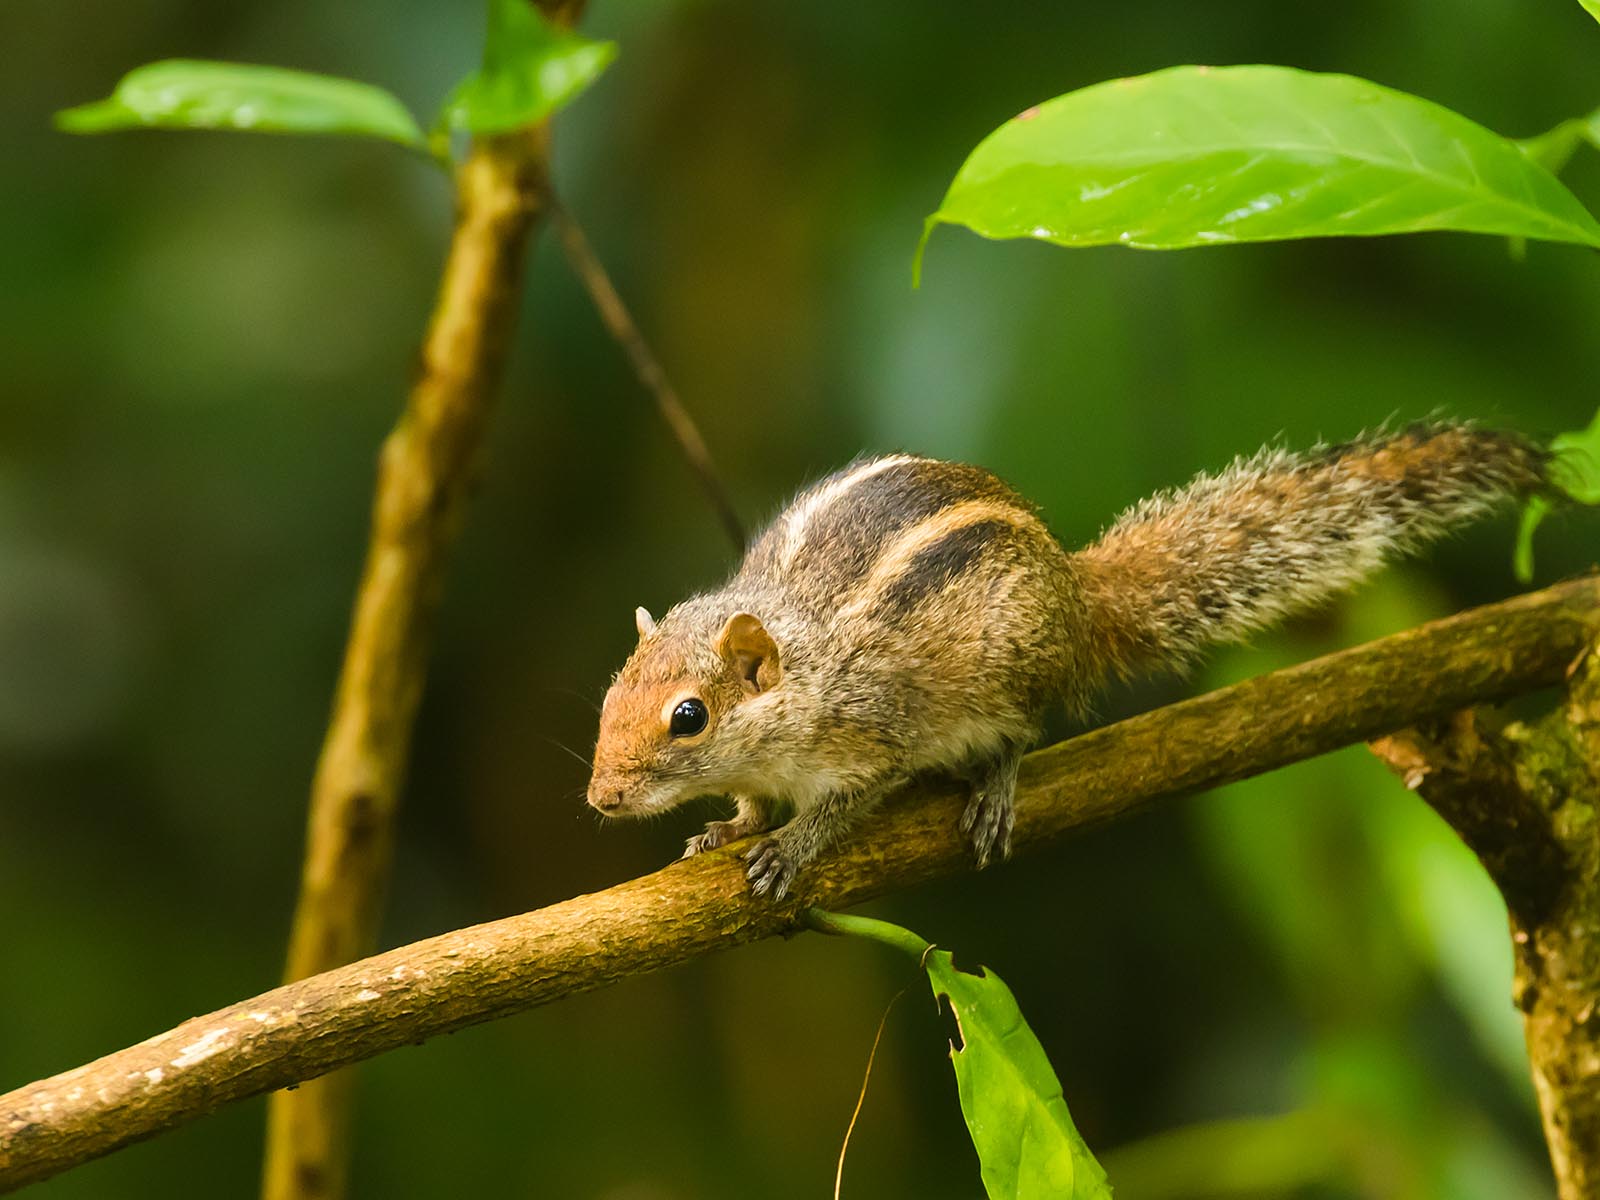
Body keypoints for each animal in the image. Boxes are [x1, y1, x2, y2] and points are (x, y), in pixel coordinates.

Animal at [586, 422, 1550, 899]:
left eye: (688, 717)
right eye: (608, 697)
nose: (601, 800)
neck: (807, 665)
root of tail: (1078, 600)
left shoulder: (873, 734)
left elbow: (847, 804)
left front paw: (790, 848)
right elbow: (751, 801)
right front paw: (730, 826)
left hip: (1011, 675)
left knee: (1020, 730)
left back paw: (996, 789)